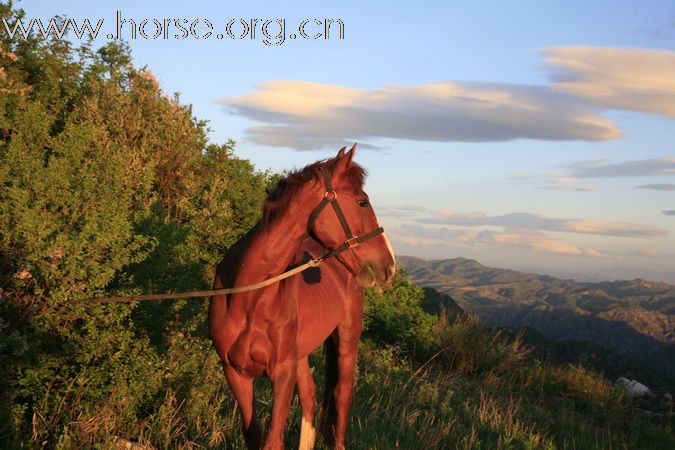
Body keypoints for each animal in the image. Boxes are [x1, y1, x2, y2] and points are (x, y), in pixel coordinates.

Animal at [206, 145, 396, 450]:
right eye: (362, 202)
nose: (389, 266)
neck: (250, 297)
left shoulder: (282, 374)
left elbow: (273, 441)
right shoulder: (235, 373)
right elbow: (254, 436)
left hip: (346, 345)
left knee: (340, 400)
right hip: (302, 355)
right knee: (309, 397)